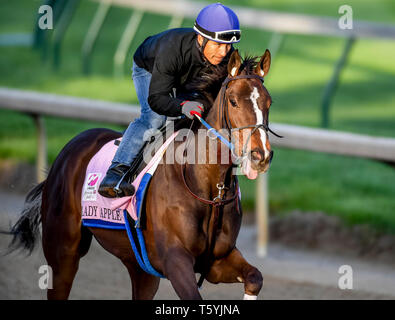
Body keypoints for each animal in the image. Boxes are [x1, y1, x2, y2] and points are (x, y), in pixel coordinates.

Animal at [10, 48, 276, 298]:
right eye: (233, 101)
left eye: (269, 102)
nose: (260, 155)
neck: (208, 188)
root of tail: (69, 149)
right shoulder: (175, 261)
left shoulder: (216, 261)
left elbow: (255, 277)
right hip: (63, 251)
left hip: (139, 266)